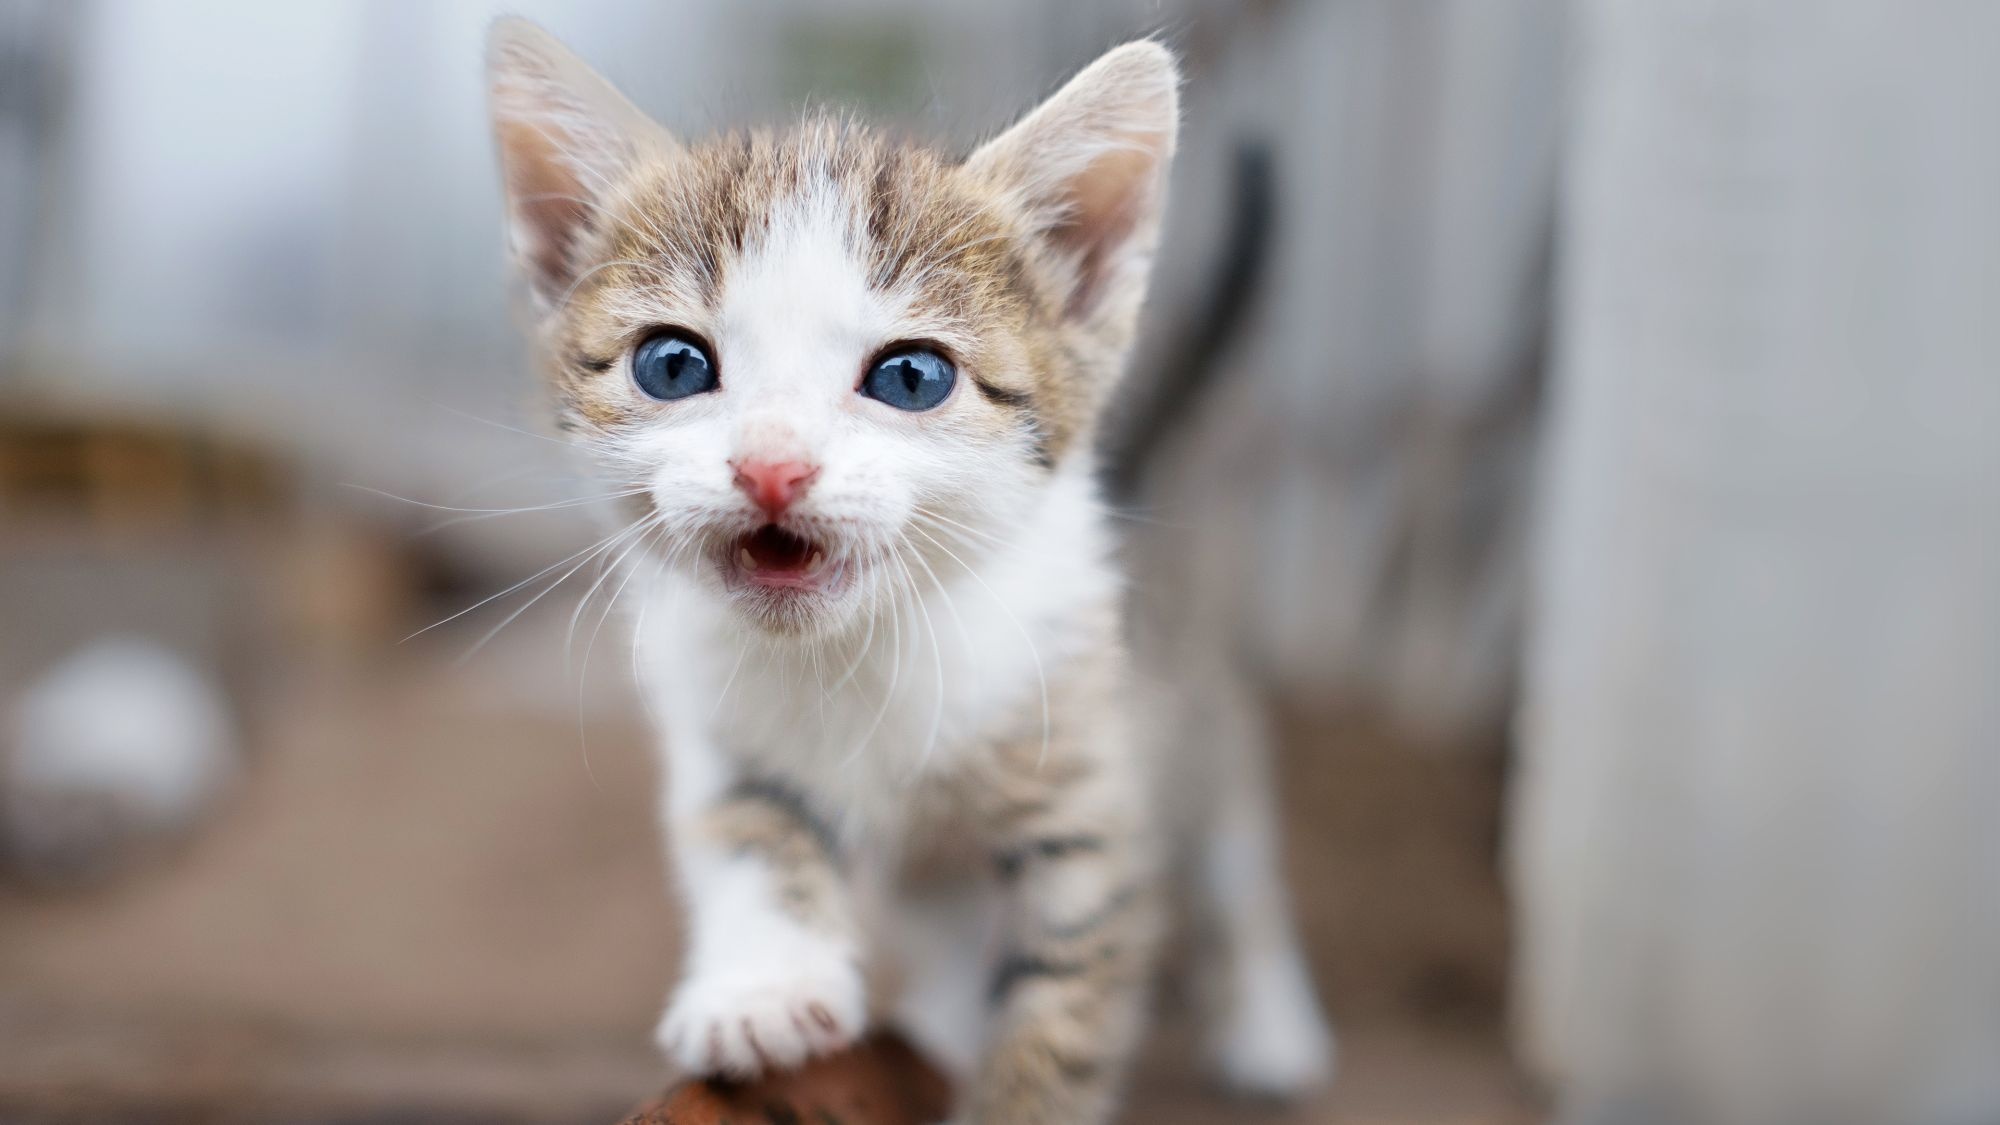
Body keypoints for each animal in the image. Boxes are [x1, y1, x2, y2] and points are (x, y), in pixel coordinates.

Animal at [482, 17, 1328, 1112]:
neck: (859, 653)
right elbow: (750, 837)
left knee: (1237, 855)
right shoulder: (723, 734)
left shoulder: (1089, 784)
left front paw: (1017, 1097)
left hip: (1190, 696)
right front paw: (763, 988)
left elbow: (1063, 999)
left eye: (911, 378)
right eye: (671, 365)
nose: (772, 467)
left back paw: (1270, 1020)